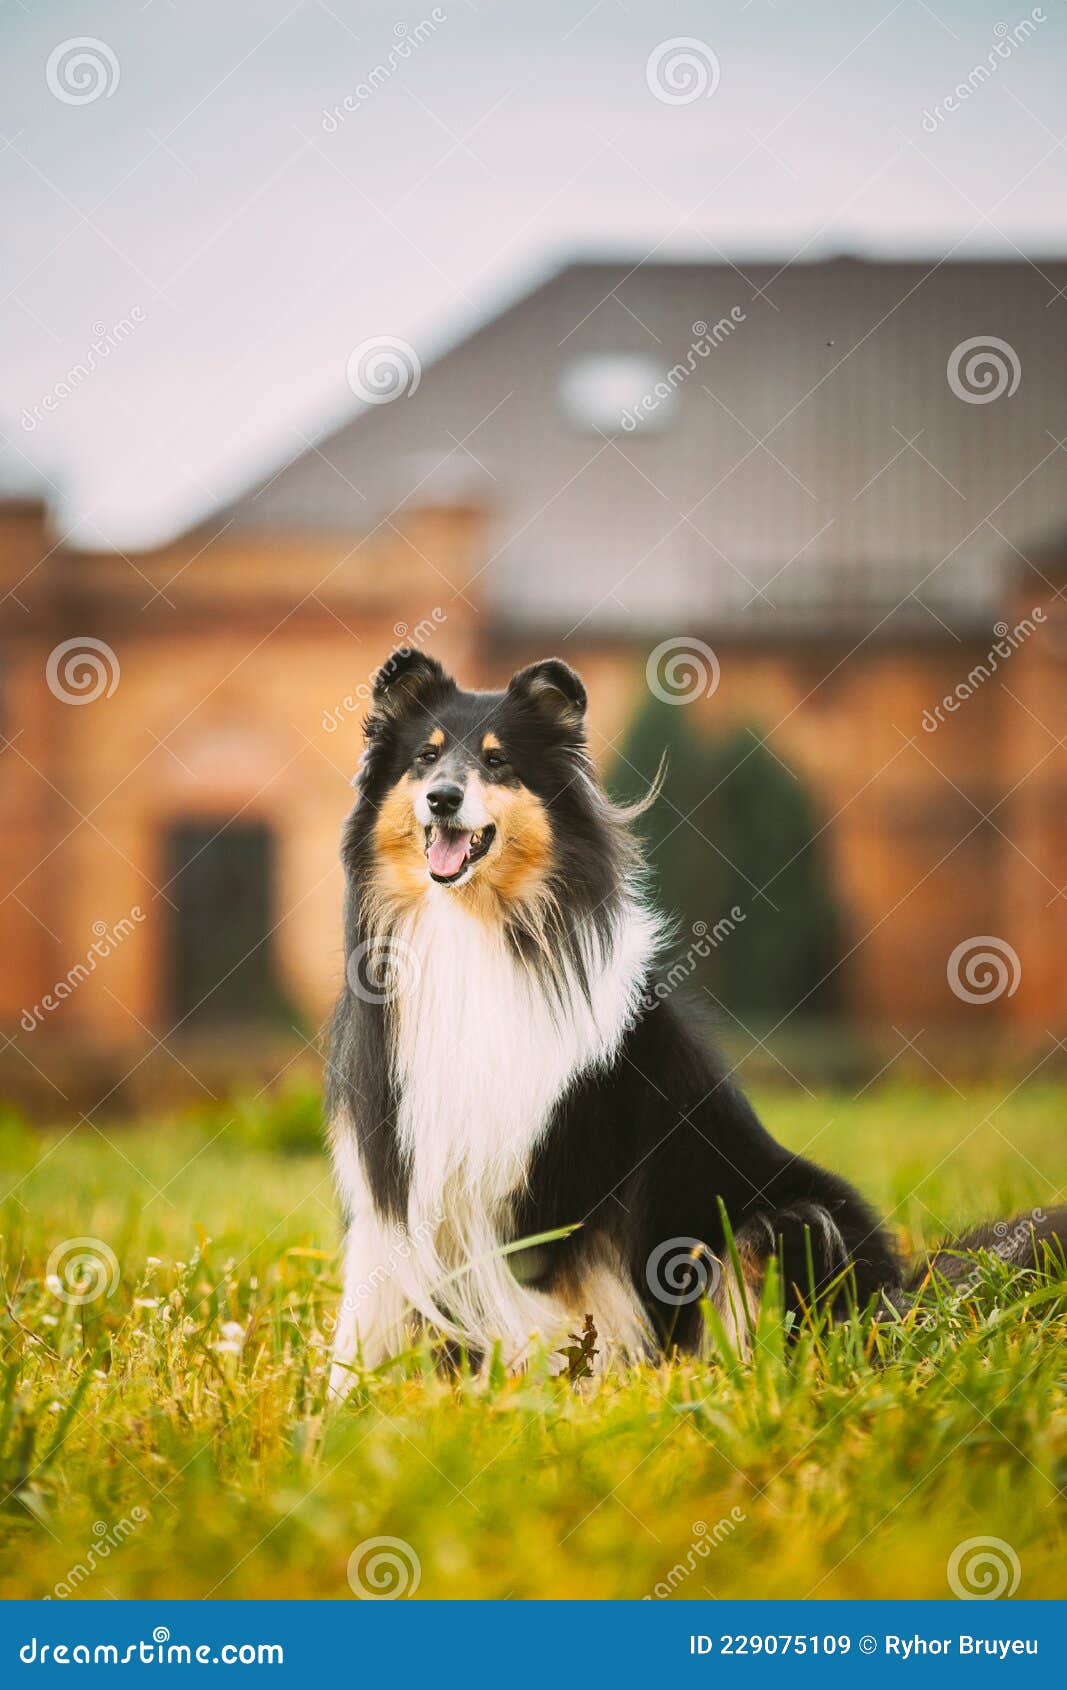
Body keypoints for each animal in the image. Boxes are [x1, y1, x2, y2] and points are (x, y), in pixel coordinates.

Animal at [329, 642, 1061, 1385]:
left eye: (498, 761)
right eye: (425, 756)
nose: (442, 798)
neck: (471, 929)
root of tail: (902, 1295)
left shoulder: (555, 1180)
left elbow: (542, 1313)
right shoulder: (390, 1178)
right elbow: (365, 1313)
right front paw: (346, 1399)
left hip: (787, 1218)